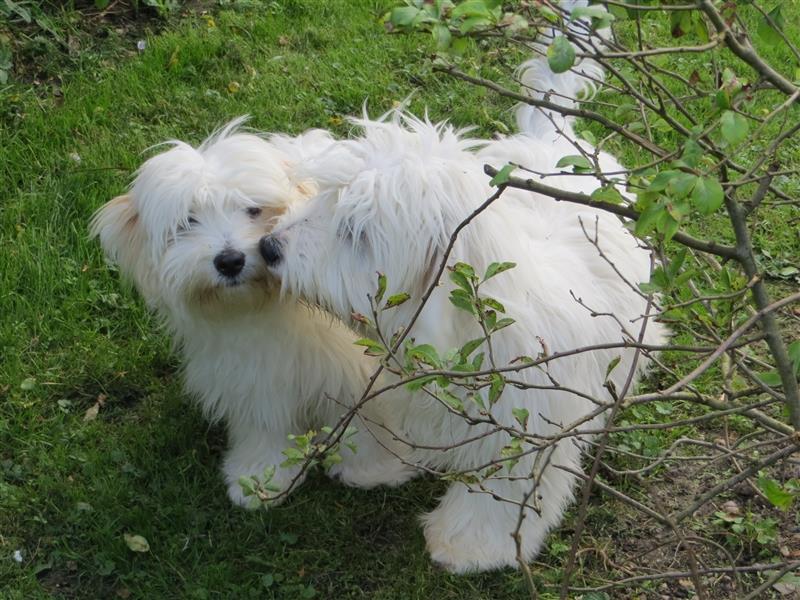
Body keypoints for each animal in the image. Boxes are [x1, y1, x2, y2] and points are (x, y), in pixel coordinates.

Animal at [92, 120, 412, 506]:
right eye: (188, 221)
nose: (230, 260)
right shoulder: (252, 377)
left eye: (253, 210)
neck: (270, 310)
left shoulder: (359, 366)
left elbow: (367, 414)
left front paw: (375, 469)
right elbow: (265, 424)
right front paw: (260, 477)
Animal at [260, 42, 668, 572]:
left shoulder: (522, 435)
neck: (467, 335)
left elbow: (495, 498)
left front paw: (467, 545)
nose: (268, 247)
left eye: (355, 232)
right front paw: (374, 464)